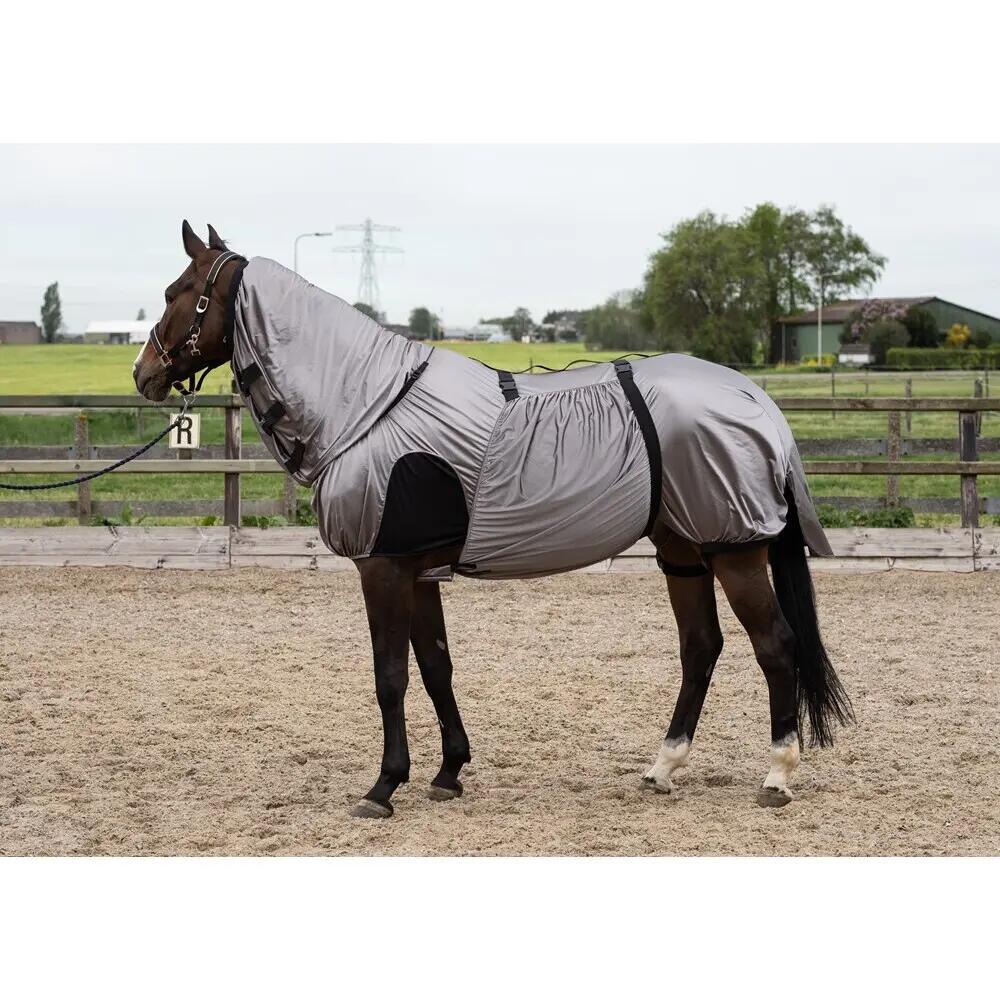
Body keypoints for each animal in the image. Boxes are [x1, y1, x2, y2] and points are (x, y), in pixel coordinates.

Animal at [133, 221, 853, 819]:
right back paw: (663, 767)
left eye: (179, 292)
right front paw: (448, 770)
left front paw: (383, 785)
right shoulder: (419, 571)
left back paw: (777, 775)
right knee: (701, 646)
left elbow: (390, 676)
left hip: (734, 549)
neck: (368, 405)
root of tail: (754, 398)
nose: (144, 374)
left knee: (775, 647)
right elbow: (435, 667)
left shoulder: (382, 567)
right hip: (683, 549)